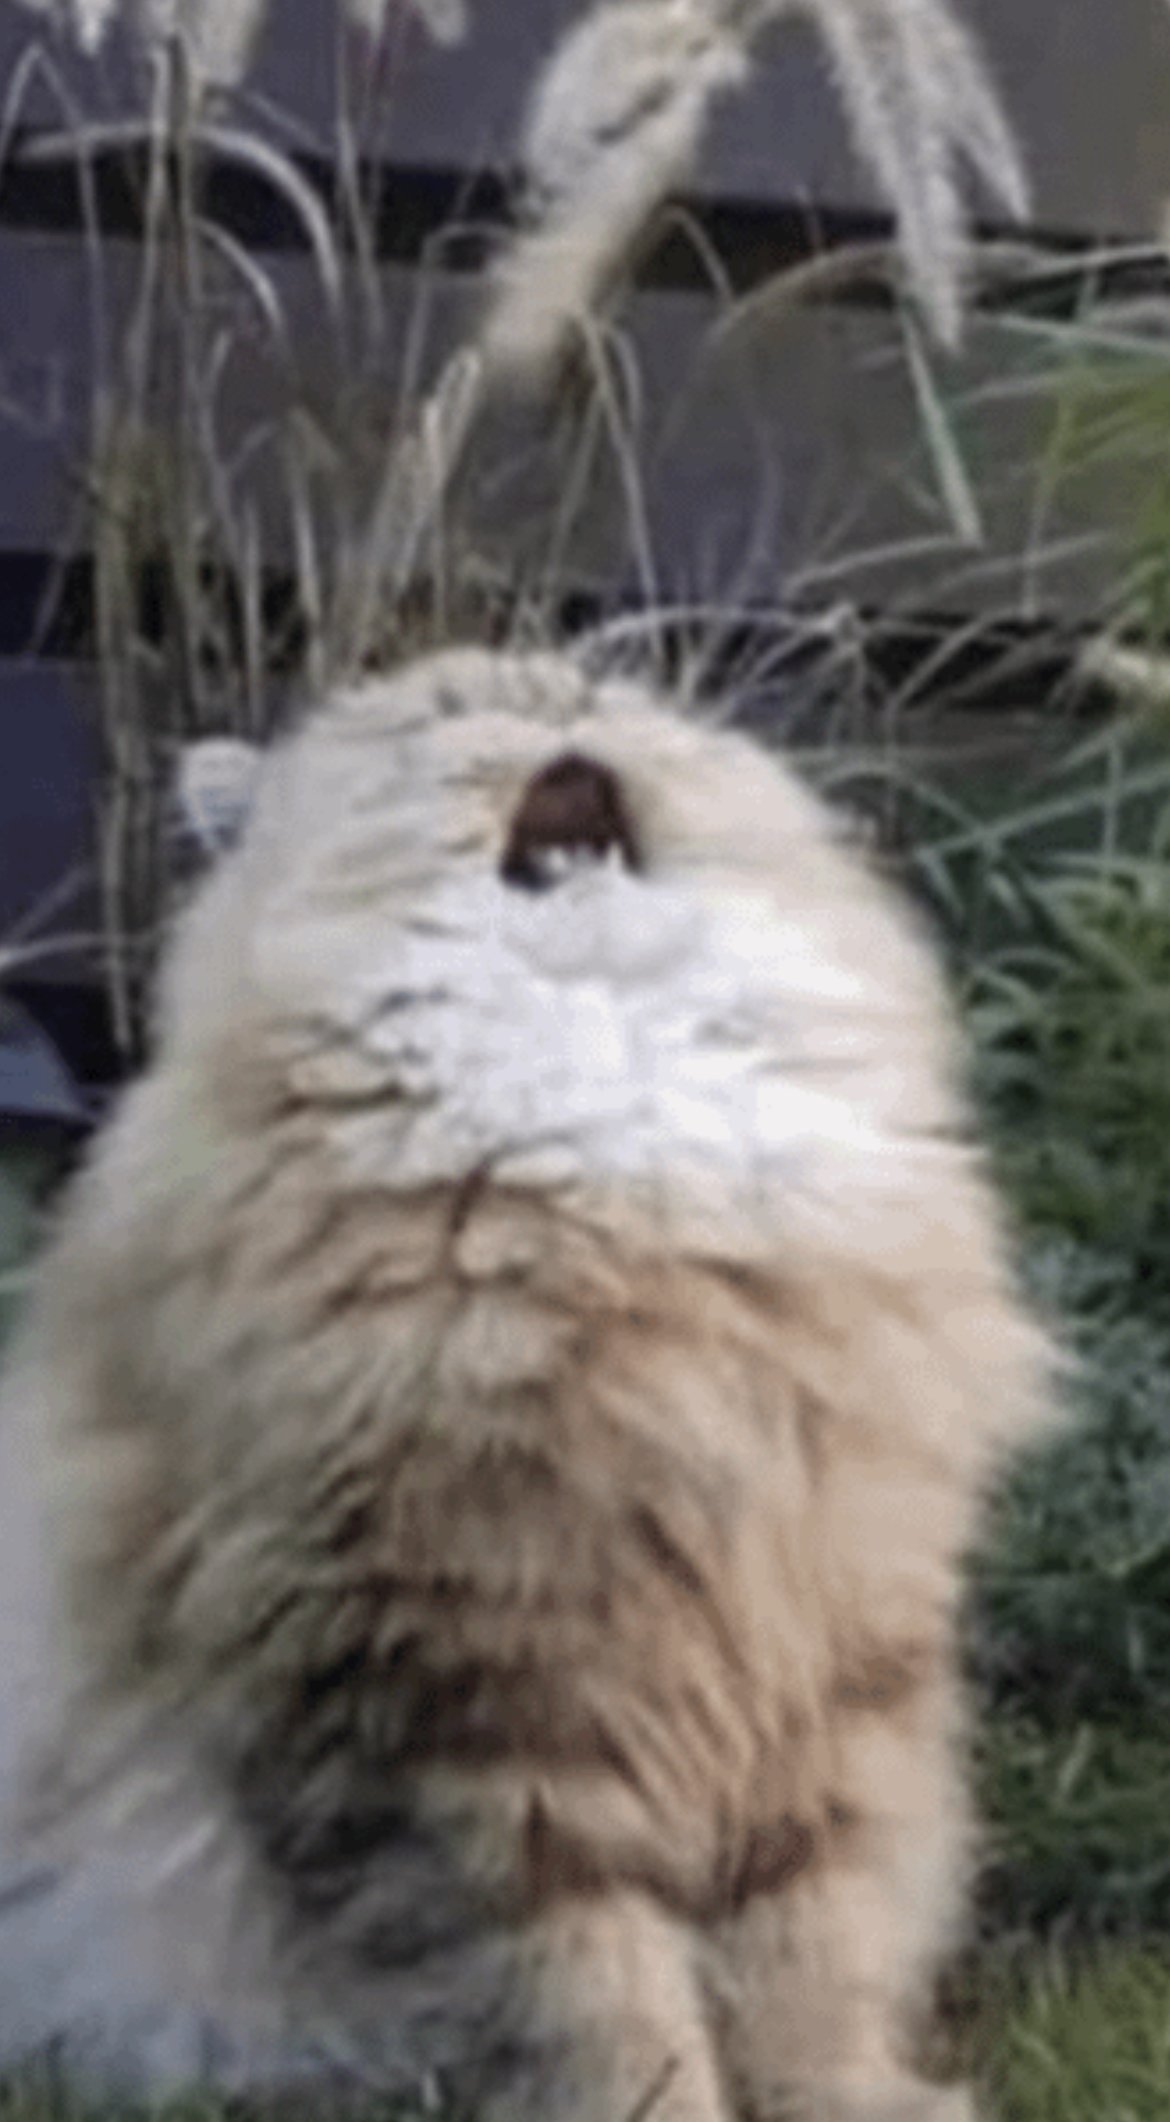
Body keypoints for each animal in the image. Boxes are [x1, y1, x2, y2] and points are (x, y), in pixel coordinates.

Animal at [0, 646, 1055, 2119]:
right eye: (445, 716)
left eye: (607, 688)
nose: (550, 695)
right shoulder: (466, 1718)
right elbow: (594, 1999)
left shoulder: (832, 1676)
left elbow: (813, 1964)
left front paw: (856, 2102)